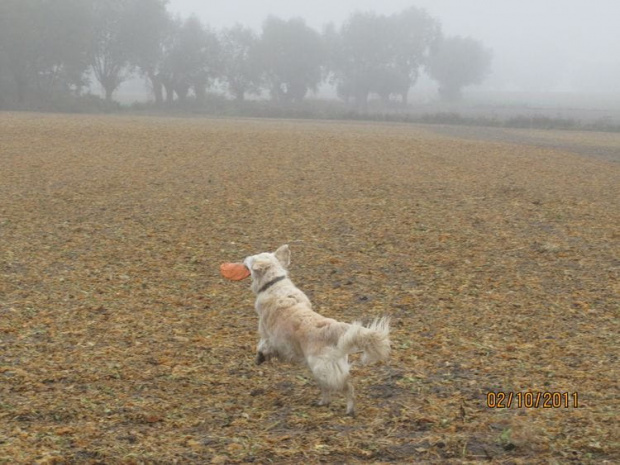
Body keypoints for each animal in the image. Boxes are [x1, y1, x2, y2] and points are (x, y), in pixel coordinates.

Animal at [240, 245, 390, 416]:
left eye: (253, 258)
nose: (243, 258)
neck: (273, 284)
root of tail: (334, 327)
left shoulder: (268, 335)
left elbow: (262, 346)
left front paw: (260, 357)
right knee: (332, 387)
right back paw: (325, 403)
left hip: (320, 367)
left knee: (345, 387)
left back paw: (348, 409)